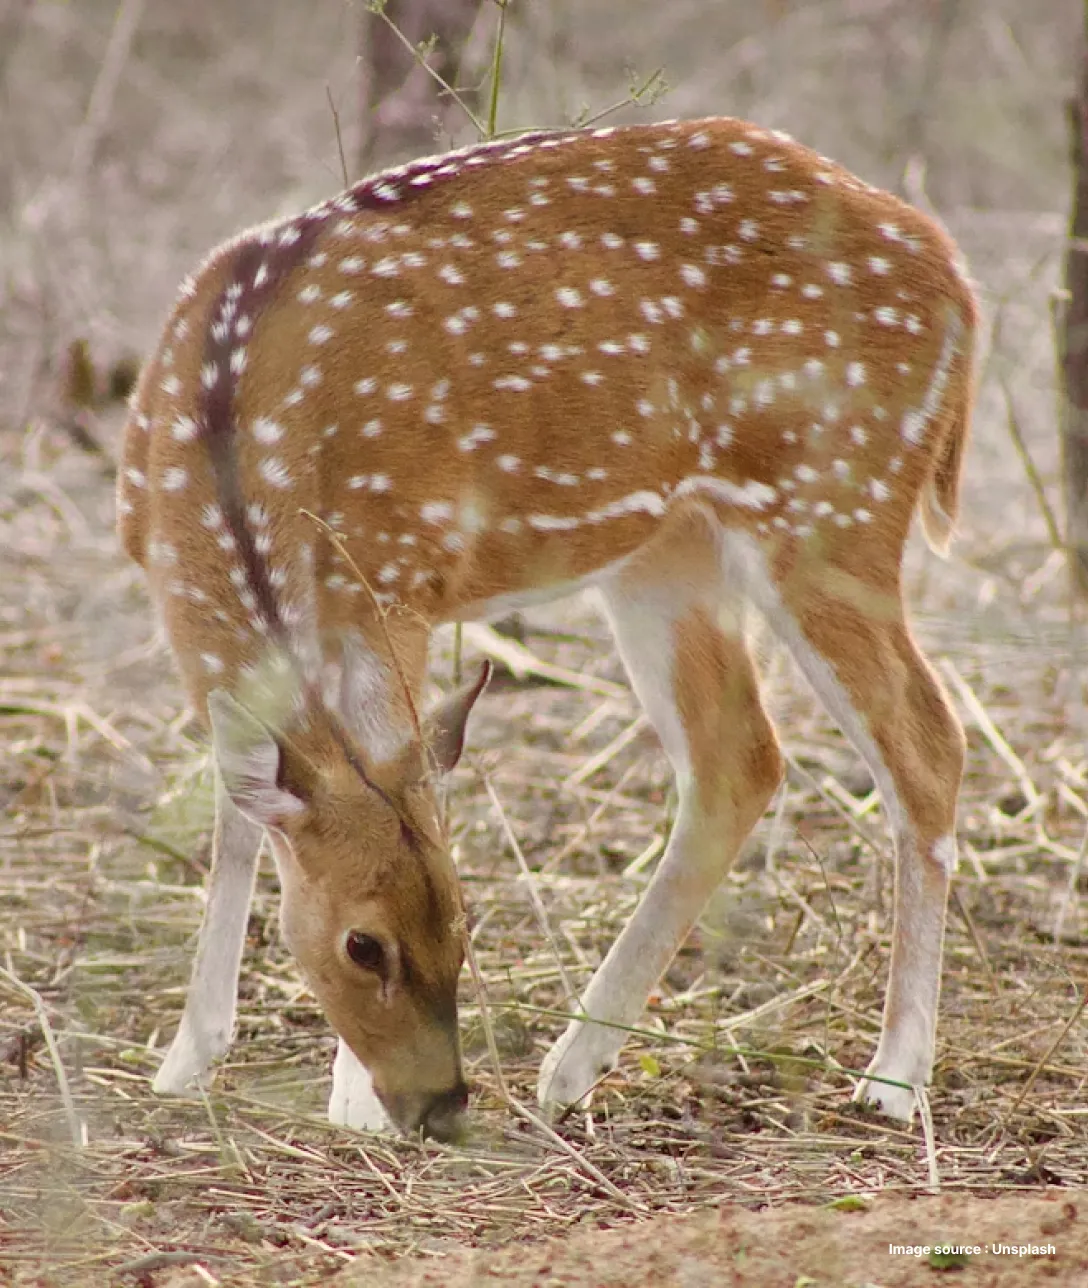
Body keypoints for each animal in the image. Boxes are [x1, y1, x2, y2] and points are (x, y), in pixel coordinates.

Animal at [117, 115, 977, 1141]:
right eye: (364, 945)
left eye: (461, 918)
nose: (442, 1102)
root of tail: (955, 276)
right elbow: (242, 813)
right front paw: (185, 1059)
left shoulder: (398, 577)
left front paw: (349, 1101)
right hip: (670, 549)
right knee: (740, 757)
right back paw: (573, 1067)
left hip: (834, 502)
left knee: (925, 744)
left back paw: (893, 1076)